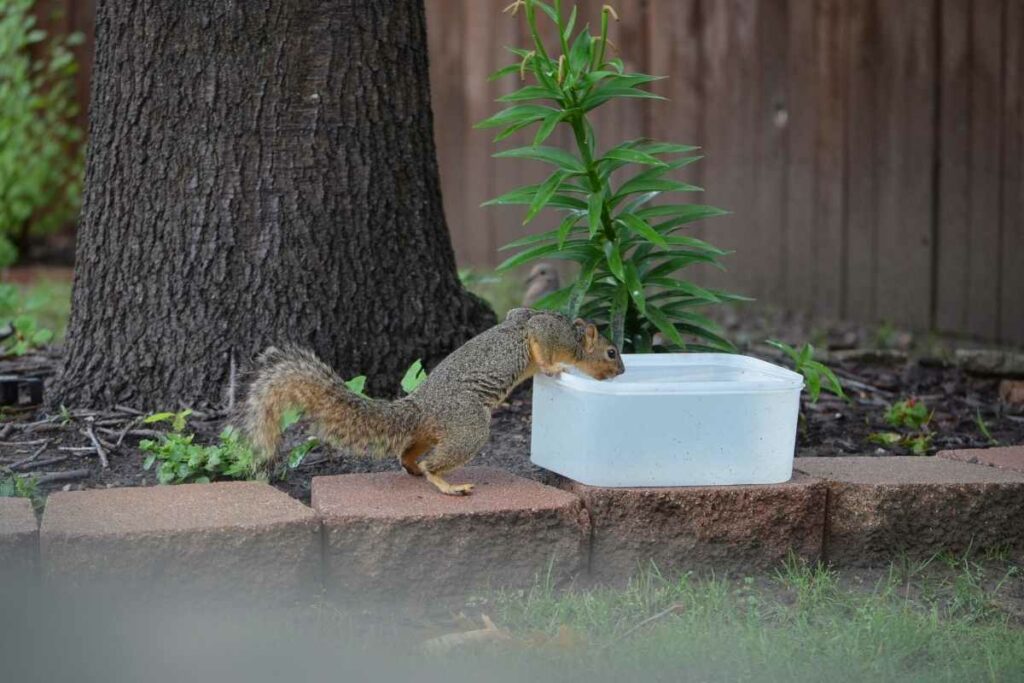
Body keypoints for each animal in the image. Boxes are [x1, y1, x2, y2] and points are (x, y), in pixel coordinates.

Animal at [239, 308, 624, 495]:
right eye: (611, 352)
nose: (622, 370)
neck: (574, 338)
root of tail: (419, 407)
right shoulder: (545, 331)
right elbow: (538, 341)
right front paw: (552, 367)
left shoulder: (520, 313)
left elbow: (518, 315)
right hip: (469, 423)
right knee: (432, 465)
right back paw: (447, 485)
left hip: (434, 431)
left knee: (408, 454)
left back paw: (411, 468)